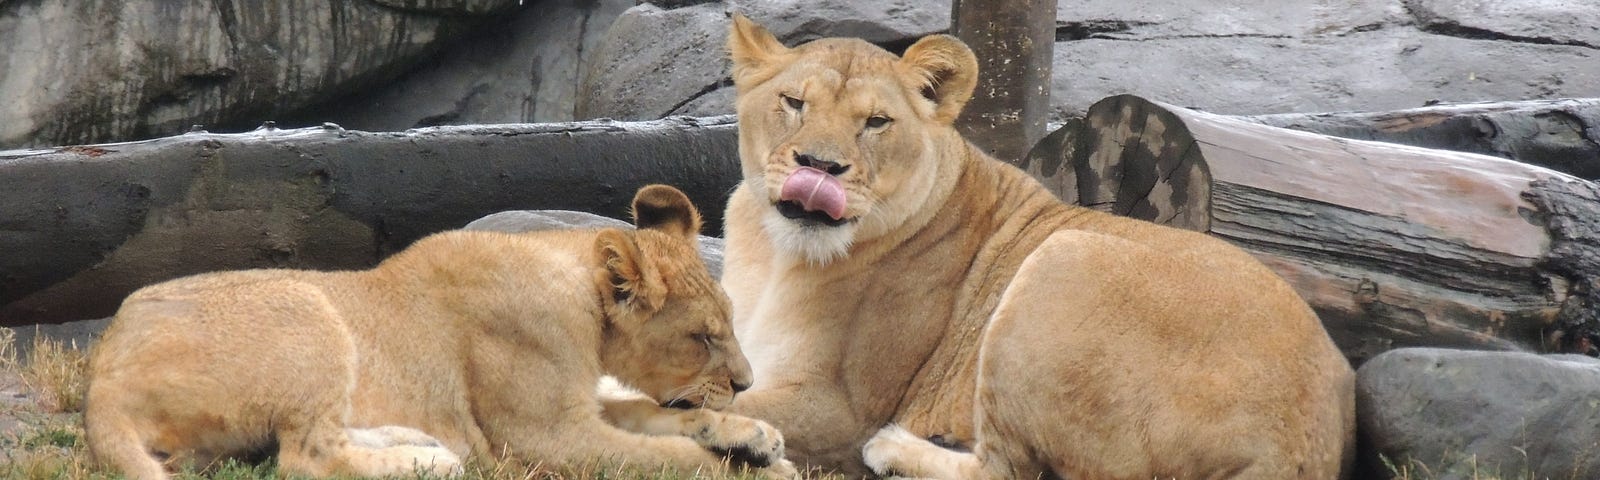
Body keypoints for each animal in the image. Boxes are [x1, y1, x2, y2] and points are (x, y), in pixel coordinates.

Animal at [84, 184, 796, 480]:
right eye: (703, 337)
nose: (746, 383)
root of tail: (100, 382)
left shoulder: (580, 408)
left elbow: (662, 414)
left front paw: (756, 438)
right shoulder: (543, 438)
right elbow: (667, 455)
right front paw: (753, 468)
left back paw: (420, 444)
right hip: (308, 304)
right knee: (304, 458)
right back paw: (428, 462)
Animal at [720, 13, 1356, 476]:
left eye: (876, 122)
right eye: (793, 102)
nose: (819, 167)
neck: (774, 252)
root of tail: (1303, 446)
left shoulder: (842, 408)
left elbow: (714, 401)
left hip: (1064, 257)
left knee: (1009, 470)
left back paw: (894, 450)